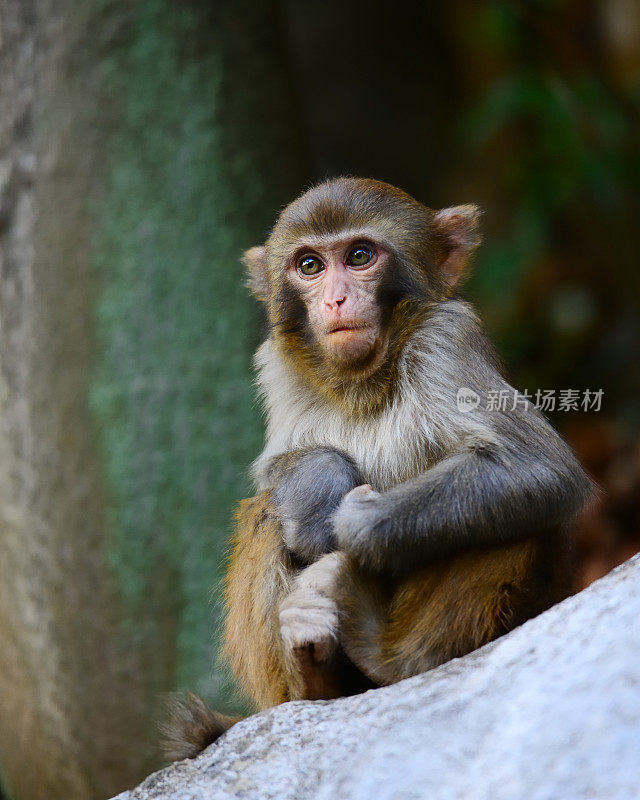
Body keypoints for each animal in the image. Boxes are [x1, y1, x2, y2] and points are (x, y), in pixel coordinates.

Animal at [162, 178, 592, 760]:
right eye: (310, 265)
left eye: (360, 257)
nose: (336, 299)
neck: (364, 377)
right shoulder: (275, 365)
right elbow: (274, 470)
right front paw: (319, 490)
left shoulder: (447, 337)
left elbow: (537, 468)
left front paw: (353, 523)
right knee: (268, 512)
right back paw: (316, 678)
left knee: (513, 513)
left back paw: (391, 657)